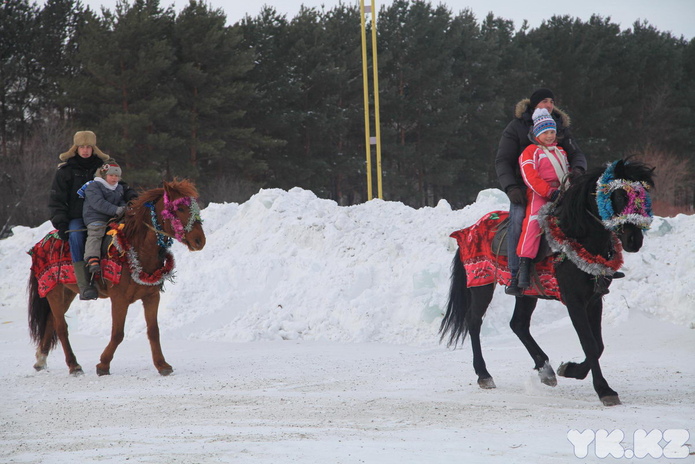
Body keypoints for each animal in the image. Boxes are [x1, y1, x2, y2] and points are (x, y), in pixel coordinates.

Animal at [27, 179, 207, 376]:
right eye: (179, 208)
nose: (200, 240)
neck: (136, 249)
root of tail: (39, 245)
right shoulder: (119, 299)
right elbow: (118, 333)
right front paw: (103, 365)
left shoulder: (151, 297)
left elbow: (153, 331)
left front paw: (162, 365)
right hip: (54, 291)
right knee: (61, 327)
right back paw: (74, 365)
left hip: (68, 292)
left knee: (51, 321)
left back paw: (41, 360)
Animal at [444, 160, 656, 406]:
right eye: (620, 195)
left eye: (644, 196)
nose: (634, 240)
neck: (577, 236)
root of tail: (469, 230)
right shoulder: (574, 301)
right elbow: (590, 344)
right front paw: (604, 390)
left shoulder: (594, 300)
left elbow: (598, 345)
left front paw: (571, 370)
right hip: (481, 284)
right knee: (474, 321)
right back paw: (484, 374)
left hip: (525, 293)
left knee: (518, 324)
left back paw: (545, 369)